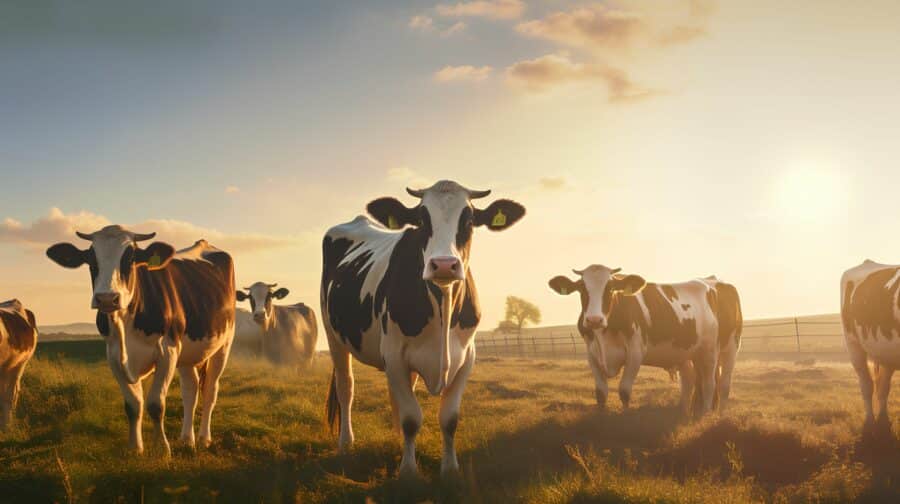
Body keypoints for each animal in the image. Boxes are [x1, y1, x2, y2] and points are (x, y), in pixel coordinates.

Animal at [46, 225, 235, 455]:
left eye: (130, 259)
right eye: (91, 260)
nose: (107, 298)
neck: (125, 325)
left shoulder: (168, 351)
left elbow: (155, 404)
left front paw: (162, 449)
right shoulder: (113, 355)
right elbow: (133, 405)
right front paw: (135, 448)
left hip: (223, 344)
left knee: (210, 390)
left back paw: (204, 438)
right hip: (187, 353)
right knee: (190, 389)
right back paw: (186, 439)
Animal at [321, 180, 525, 478]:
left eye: (469, 220)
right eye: (421, 220)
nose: (444, 265)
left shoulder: (467, 358)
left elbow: (449, 419)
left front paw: (449, 469)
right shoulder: (394, 355)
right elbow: (411, 418)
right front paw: (408, 471)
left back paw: (395, 438)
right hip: (333, 335)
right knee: (346, 386)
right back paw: (346, 442)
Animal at [549, 265, 721, 415]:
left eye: (610, 288)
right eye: (582, 288)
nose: (594, 320)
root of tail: (705, 284)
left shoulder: (635, 353)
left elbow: (624, 390)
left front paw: (625, 415)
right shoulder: (592, 355)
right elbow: (601, 393)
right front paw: (601, 415)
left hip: (709, 351)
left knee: (709, 383)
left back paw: (704, 413)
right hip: (683, 353)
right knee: (689, 379)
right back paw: (683, 410)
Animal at [841, 259, 900, 437]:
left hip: (887, 353)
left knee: (883, 387)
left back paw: (883, 421)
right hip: (853, 344)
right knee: (867, 385)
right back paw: (869, 424)